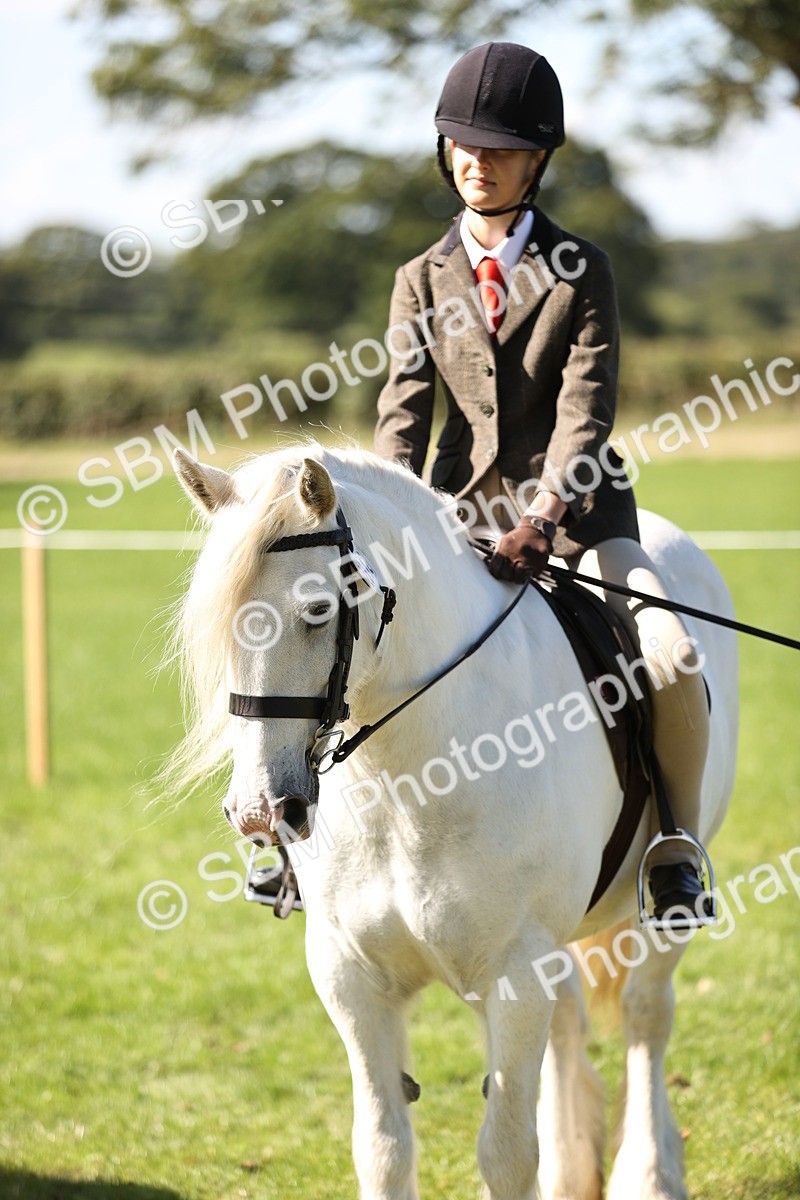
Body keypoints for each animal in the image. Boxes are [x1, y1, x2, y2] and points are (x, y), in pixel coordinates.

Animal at [168, 442, 739, 1200]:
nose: (261, 811)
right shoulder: (350, 975)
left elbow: (505, 1154)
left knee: (646, 1017)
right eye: (216, 624)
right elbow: (382, 1148)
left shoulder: (516, 970)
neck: (410, 779)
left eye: (317, 609)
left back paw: (650, 1173)